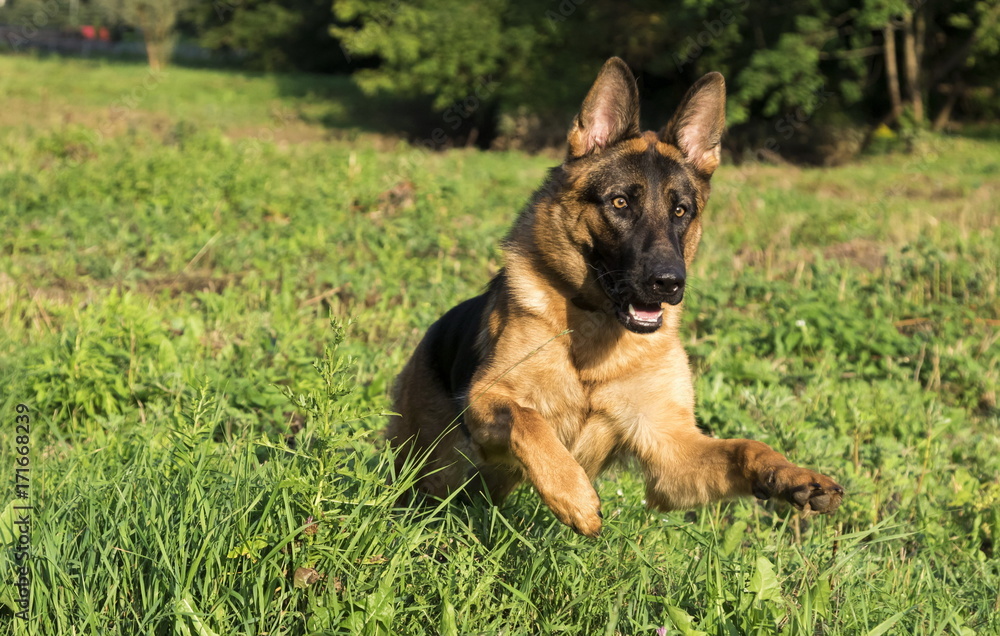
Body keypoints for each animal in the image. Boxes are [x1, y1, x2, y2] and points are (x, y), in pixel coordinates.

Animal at [390, 58, 844, 536]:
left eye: (681, 210)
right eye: (621, 203)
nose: (669, 283)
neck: (595, 335)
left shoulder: (670, 454)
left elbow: (746, 447)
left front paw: (791, 475)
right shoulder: (485, 399)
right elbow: (527, 418)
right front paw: (571, 493)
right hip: (431, 470)